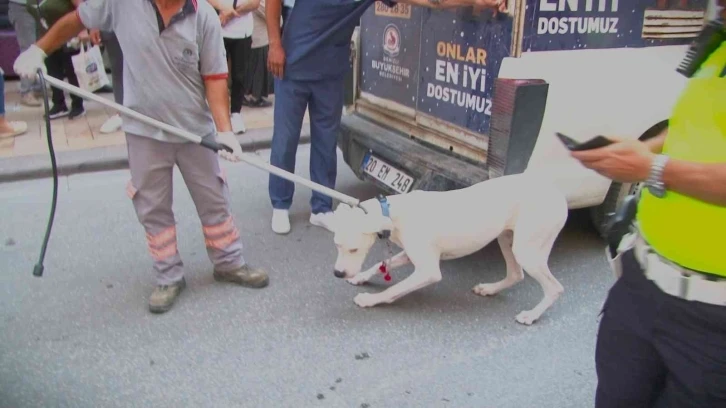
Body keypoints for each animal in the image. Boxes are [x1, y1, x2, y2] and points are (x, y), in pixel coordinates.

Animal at [332, 172, 572, 326]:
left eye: (354, 249)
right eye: (337, 245)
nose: (338, 273)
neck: (391, 212)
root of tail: (557, 193)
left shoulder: (428, 271)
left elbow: (393, 290)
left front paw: (370, 300)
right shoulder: (410, 255)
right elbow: (377, 264)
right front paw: (360, 277)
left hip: (527, 250)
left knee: (555, 288)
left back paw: (531, 315)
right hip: (506, 238)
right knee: (515, 274)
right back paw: (490, 289)